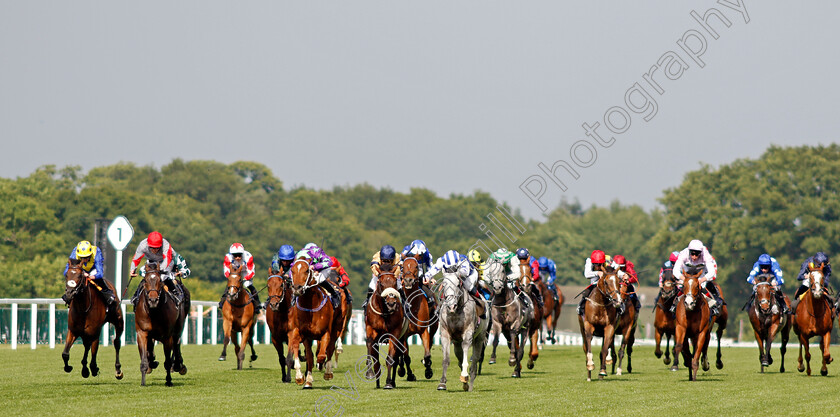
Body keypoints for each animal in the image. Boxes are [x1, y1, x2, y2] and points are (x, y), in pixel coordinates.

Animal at [288, 258, 342, 388]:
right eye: (292, 270)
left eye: (307, 270)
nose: (297, 288)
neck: (310, 307)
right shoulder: (301, 333)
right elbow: (306, 356)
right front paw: (302, 378)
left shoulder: (326, 332)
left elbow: (322, 355)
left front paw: (323, 369)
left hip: (337, 328)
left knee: (330, 349)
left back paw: (328, 373)